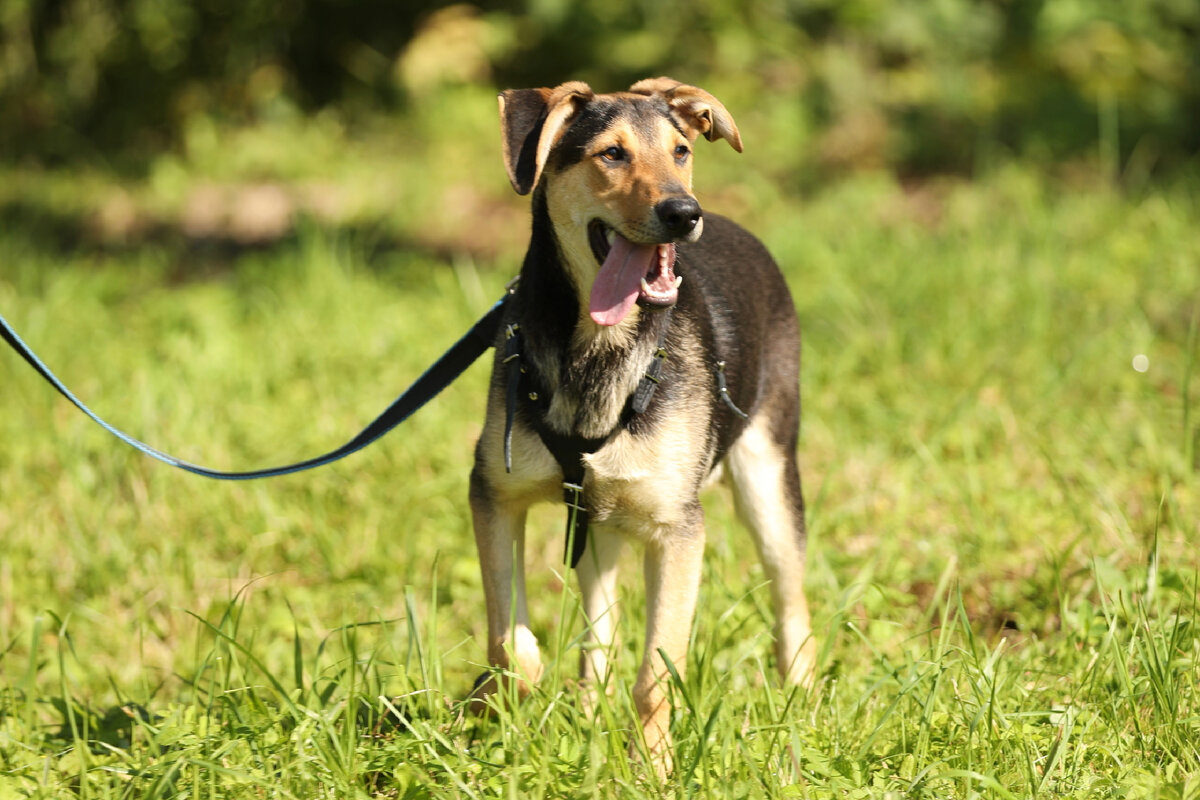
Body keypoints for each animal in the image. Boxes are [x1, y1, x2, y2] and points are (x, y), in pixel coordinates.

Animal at [468, 76, 816, 767]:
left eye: (681, 150)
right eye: (611, 154)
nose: (685, 213)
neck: (602, 350)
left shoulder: (677, 528)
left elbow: (657, 676)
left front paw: (652, 770)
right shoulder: (493, 492)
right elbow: (511, 645)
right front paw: (501, 719)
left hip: (768, 475)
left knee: (792, 603)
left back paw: (801, 708)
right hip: (597, 519)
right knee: (597, 634)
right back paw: (583, 710)